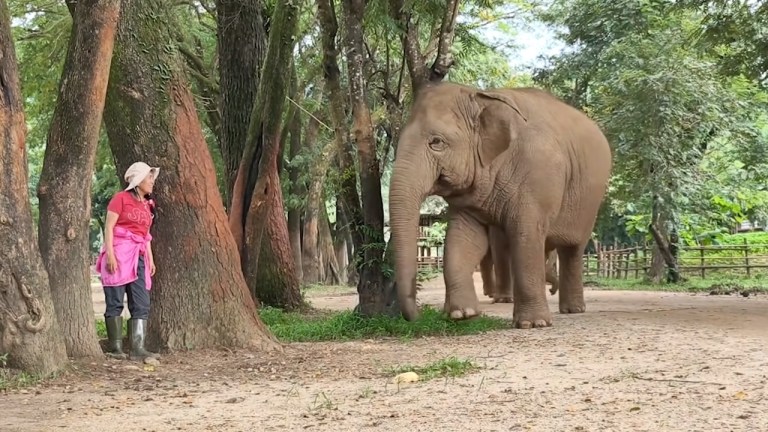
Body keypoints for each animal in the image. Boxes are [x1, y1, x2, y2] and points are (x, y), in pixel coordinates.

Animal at [388, 82, 612, 329]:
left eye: (436, 142)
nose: (415, 318)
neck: (481, 97)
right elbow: (462, 239)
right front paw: (462, 314)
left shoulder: (536, 178)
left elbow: (525, 236)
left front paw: (532, 324)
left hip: (589, 203)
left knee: (573, 249)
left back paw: (573, 310)